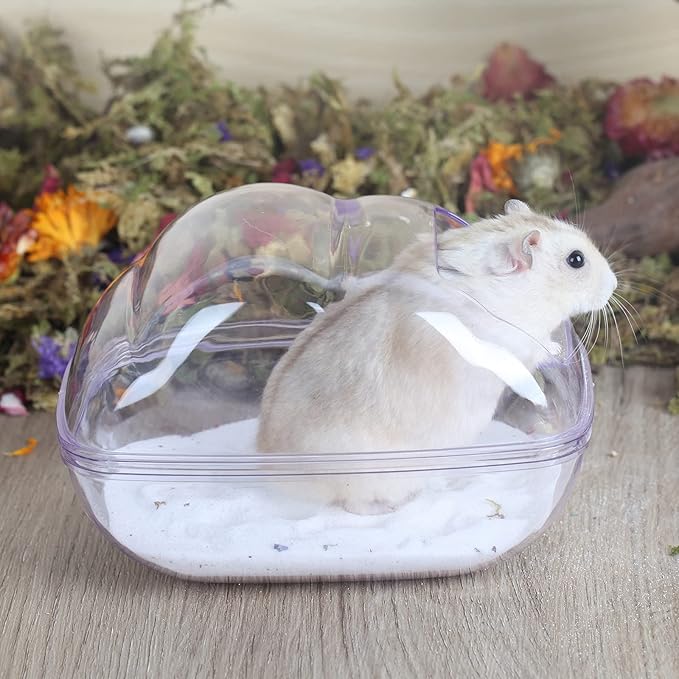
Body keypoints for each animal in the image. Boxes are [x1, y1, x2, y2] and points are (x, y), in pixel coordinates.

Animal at [256, 199, 617, 514]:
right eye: (576, 260)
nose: (615, 283)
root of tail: (269, 465)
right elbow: (537, 348)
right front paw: (556, 348)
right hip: (363, 474)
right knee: (352, 505)